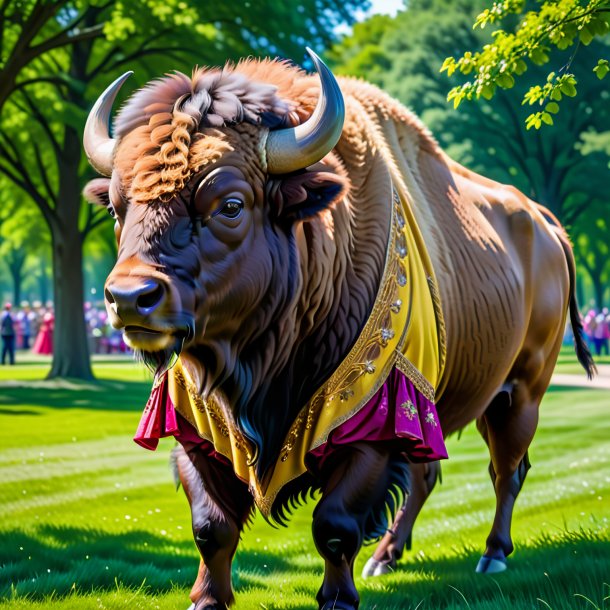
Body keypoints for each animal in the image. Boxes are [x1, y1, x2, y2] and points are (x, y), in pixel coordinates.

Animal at [83, 50, 592, 604]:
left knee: (506, 471)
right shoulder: (195, 428)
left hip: (520, 392)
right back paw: (386, 557)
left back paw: (492, 555)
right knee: (428, 477)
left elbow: (335, 524)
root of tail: (544, 222)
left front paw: (337, 598)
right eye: (117, 207)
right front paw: (207, 599)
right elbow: (210, 526)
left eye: (230, 205)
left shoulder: (374, 422)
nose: (129, 298)